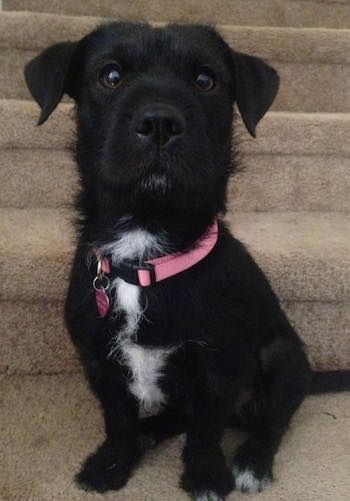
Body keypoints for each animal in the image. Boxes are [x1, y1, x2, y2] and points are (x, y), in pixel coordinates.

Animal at [24, 22, 336, 500]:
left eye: (205, 80)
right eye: (110, 76)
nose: (159, 123)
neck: (146, 249)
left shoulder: (219, 369)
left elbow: (206, 432)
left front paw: (206, 477)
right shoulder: (100, 364)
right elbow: (118, 421)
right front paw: (112, 465)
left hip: (283, 356)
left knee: (273, 422)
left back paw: (252, 461)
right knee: (177, 416)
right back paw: (151, 430)